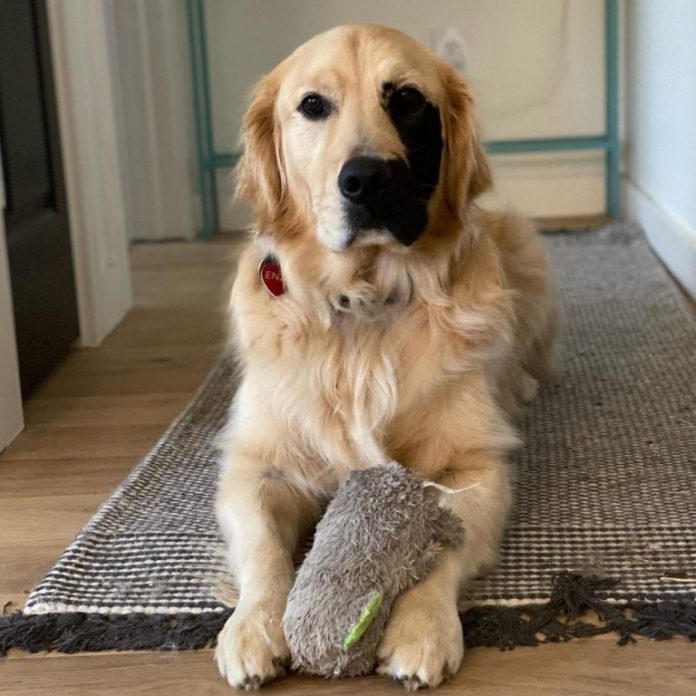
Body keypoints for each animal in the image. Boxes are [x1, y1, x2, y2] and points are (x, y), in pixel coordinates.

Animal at [215, 24, 557, 690]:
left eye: (407, 101)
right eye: (313, 104)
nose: (368, 180)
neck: (364, 302)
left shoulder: (473, 465)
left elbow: (443, 540)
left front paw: (422, 629)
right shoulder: (255, 465)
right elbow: (263, 546)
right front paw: (254, 627)